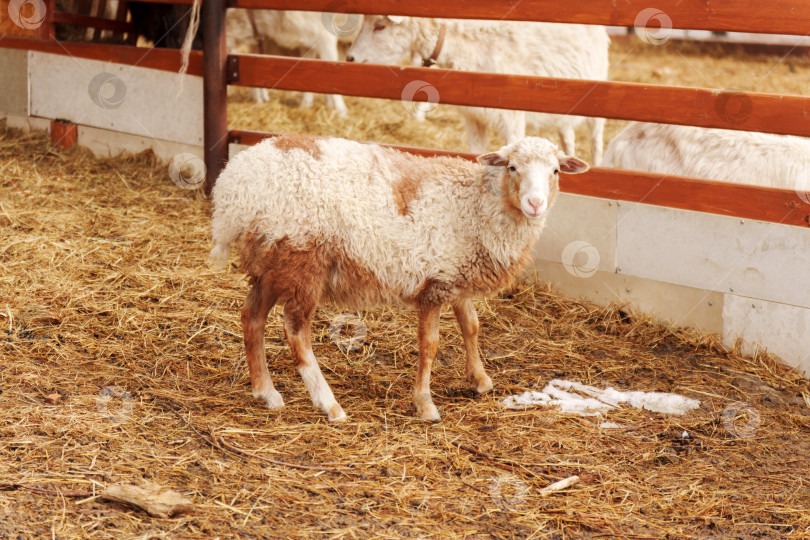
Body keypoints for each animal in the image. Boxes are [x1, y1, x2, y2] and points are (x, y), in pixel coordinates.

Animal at [209, 135, 589, 421]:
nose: (535, 204)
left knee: (251, 316)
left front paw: (480, 380)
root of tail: (233, 187)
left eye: (556, 171)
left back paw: (266, 392)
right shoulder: (435, 284)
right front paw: (425, 403)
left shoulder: (456, 276)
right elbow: (430, 344)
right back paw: (329, 405)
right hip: (302, 256)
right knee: (295, 331)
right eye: (513, 168)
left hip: (272, 259)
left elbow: (472, 326)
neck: (475, 205)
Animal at [346, 16, 609, 164]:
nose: (350, 58)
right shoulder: (474, 119)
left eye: (380, 26)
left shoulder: (513, 119)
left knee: (596, 140)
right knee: (568, 137)